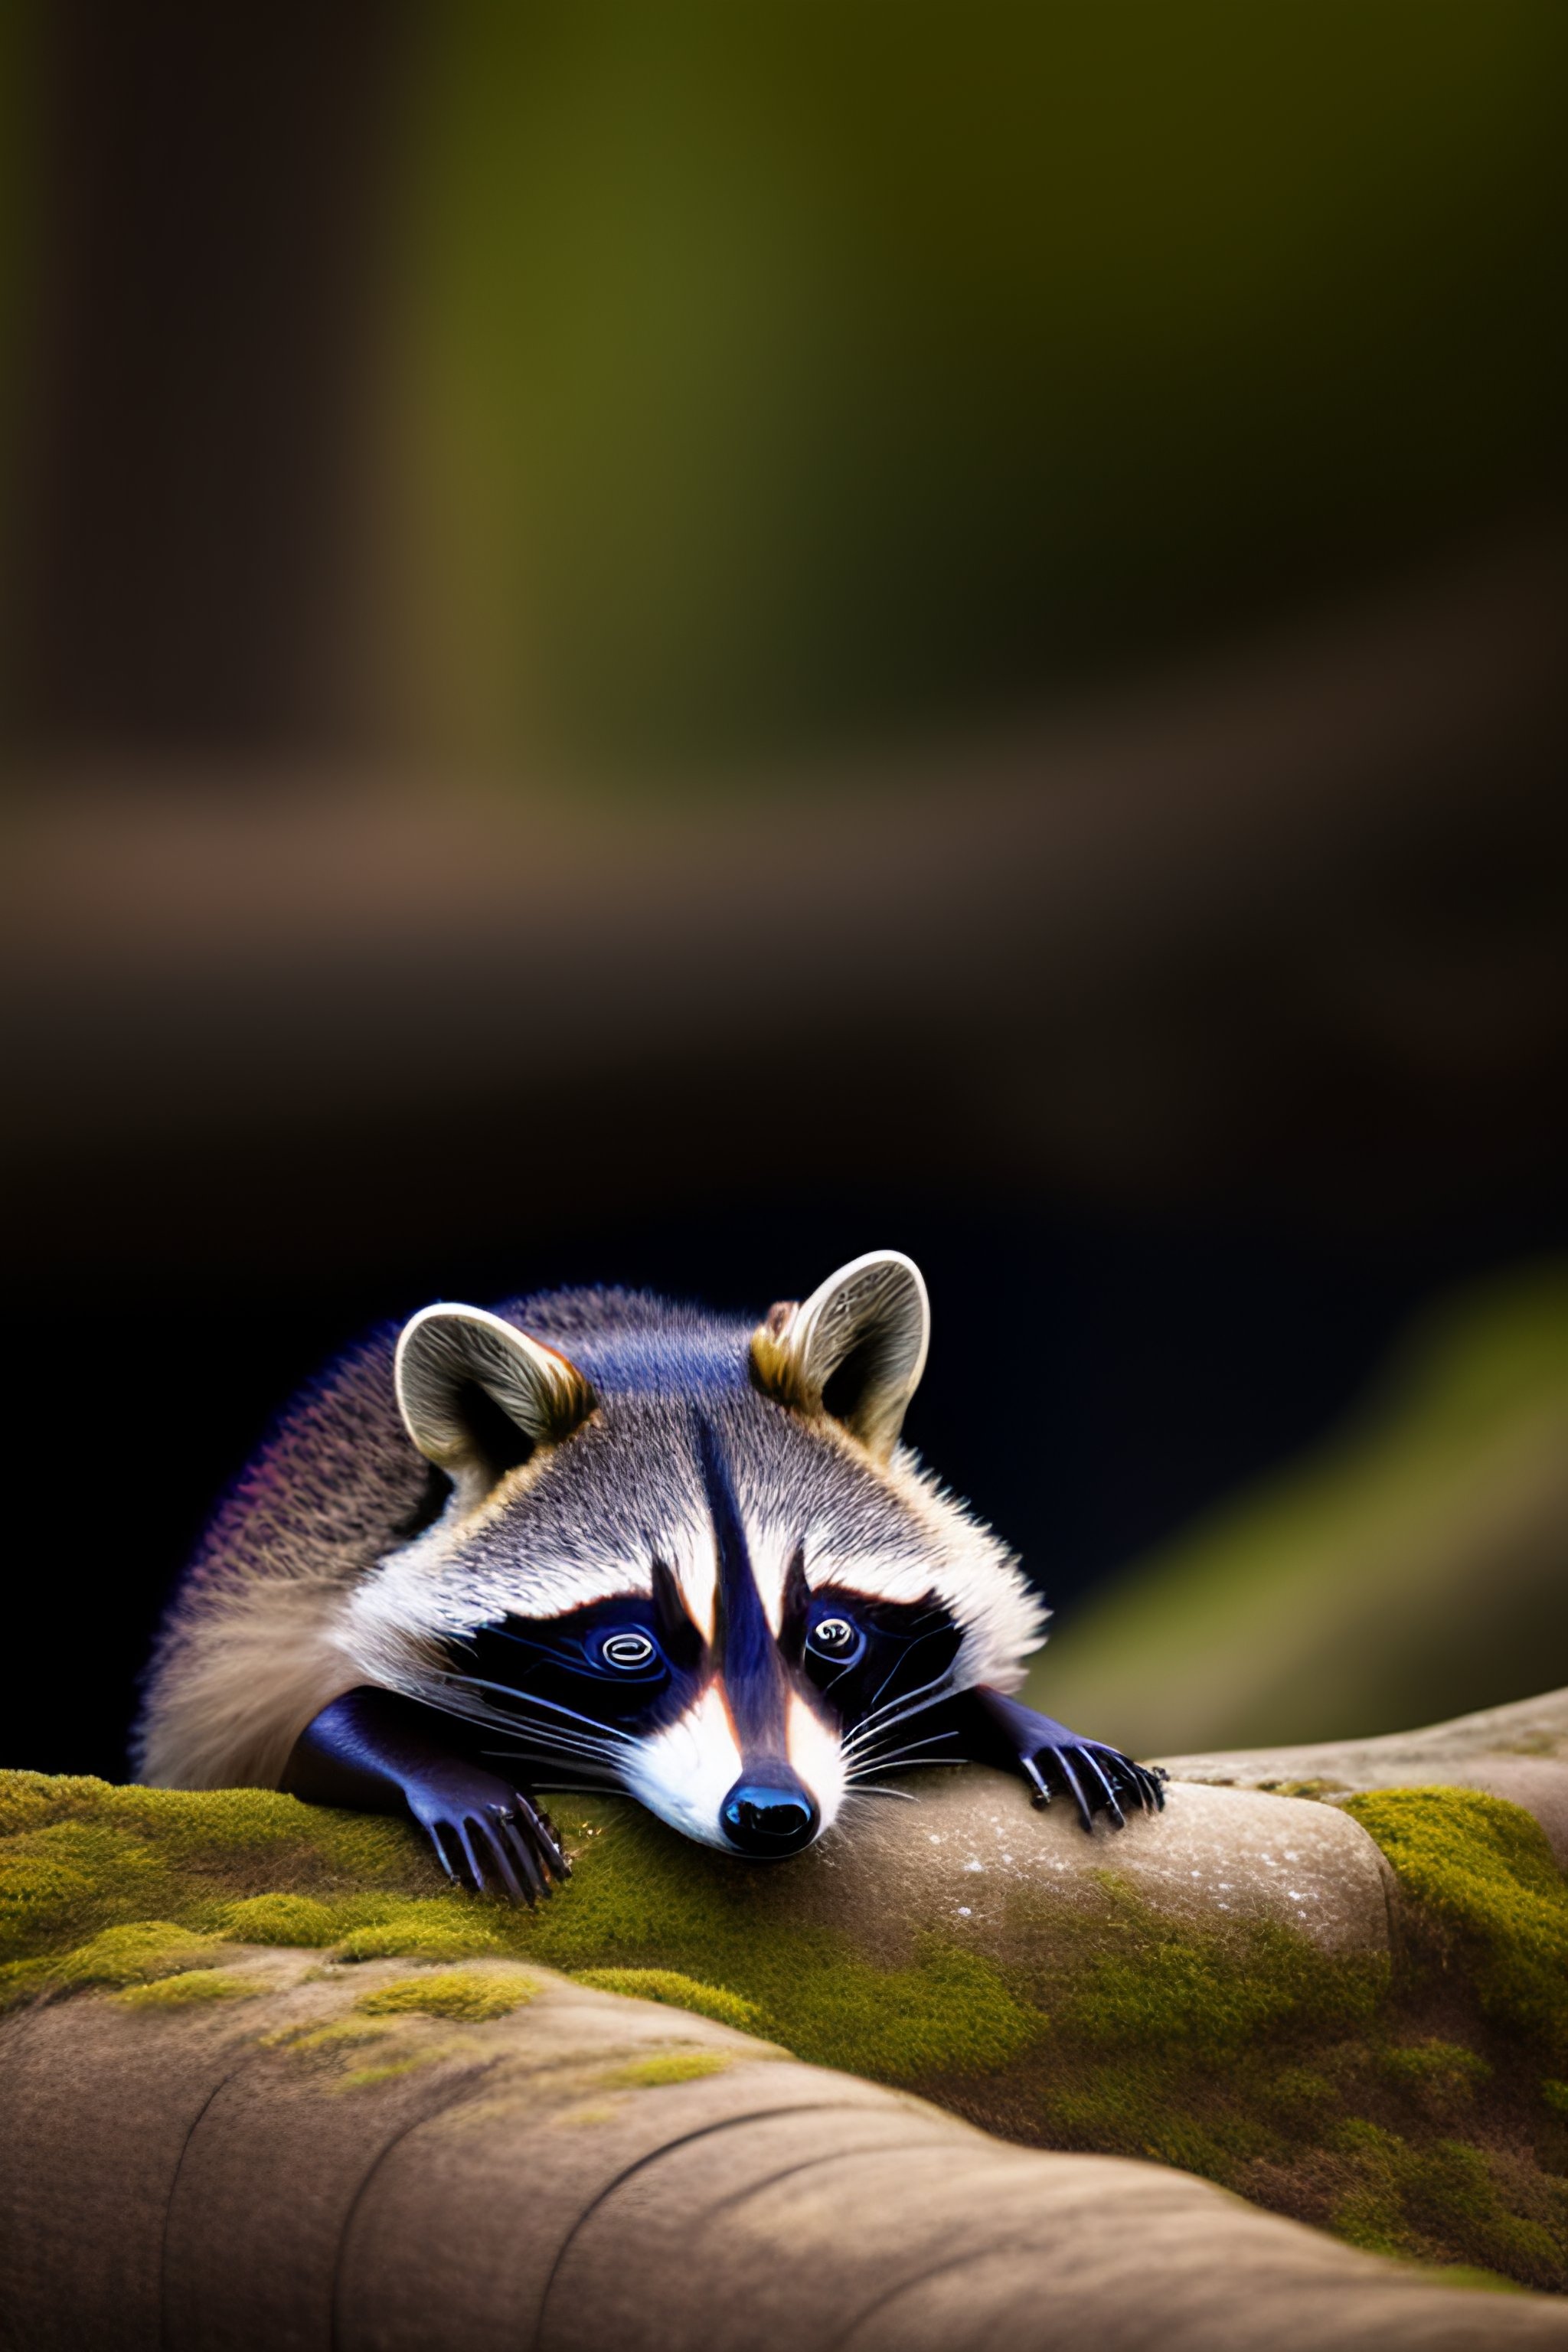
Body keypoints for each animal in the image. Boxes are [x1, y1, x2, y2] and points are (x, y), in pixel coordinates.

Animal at [136, 1252, 1163, 1898]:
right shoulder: (286, 1642)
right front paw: (440, 1773)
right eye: (626, 1649)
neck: (646, 1345)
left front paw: (1010, 1719)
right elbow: (307, 1737)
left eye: (832, 1635)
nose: (771, 1813)